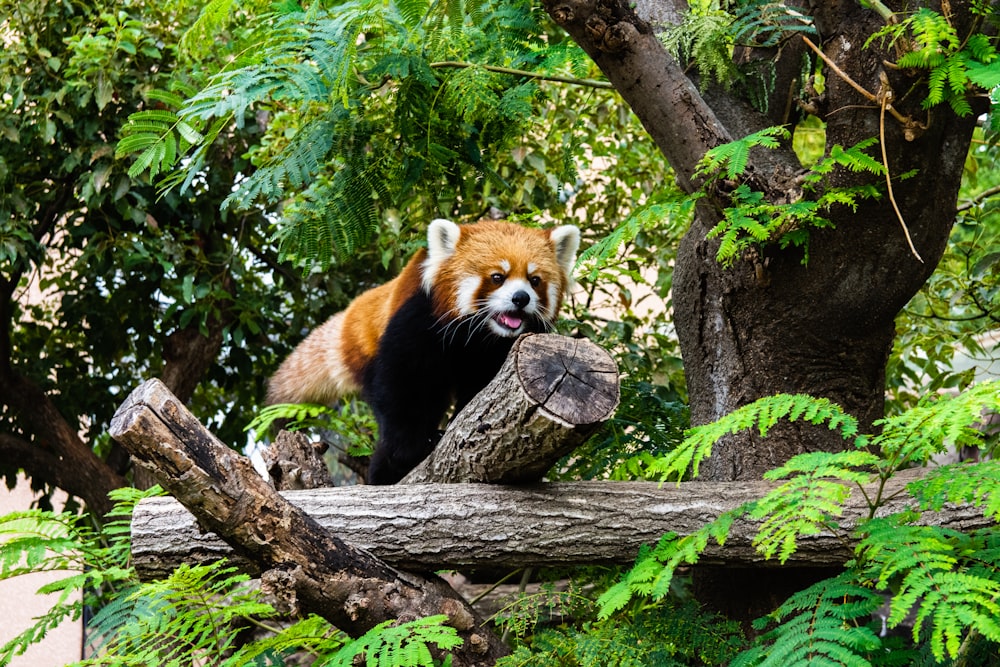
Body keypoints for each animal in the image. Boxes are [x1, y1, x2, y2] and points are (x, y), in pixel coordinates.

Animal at [268, 219, 580, 486]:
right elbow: (402, 385)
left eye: (535, 280)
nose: (521, 298)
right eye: (497, 277)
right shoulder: (420, 321)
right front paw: (413, 449)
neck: (480, 337)